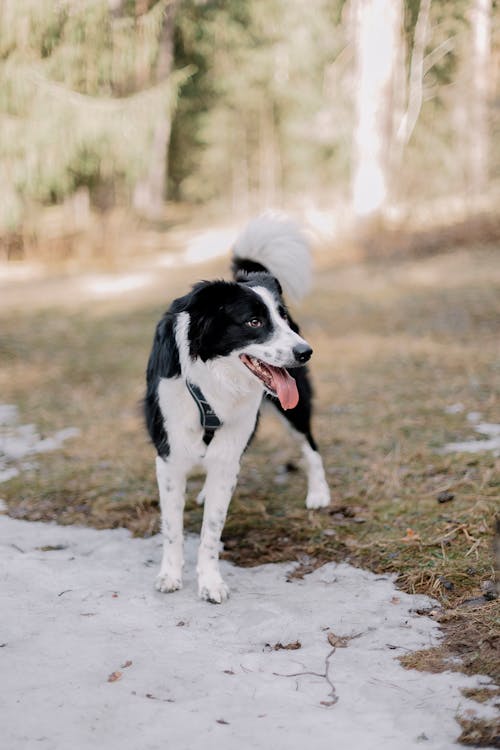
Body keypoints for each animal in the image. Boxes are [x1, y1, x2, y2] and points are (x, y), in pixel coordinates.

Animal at [146, 214, 332, 604]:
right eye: (254, 322)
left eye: (282, 319)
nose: (306, 352)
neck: (212, 382)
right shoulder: (169, 456)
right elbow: (171, 526)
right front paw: (170, 574)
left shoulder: (229, 446)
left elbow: (212, 529)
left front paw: (210, 581)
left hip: (293, 408)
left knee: (309, 445)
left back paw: (319, 493)